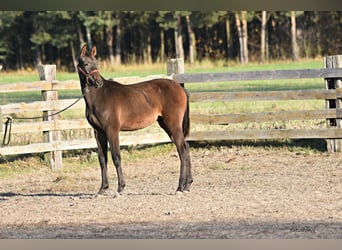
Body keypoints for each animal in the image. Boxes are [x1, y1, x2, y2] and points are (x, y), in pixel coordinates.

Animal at [77, 45, 192, 196]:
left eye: (96, 63)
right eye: (85, 63)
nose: (98, 82)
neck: (100, 96)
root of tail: (180, 88)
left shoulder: (112, 130)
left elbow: (116, 157)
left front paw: (120, 188)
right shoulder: (99, 132)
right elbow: (102, 159)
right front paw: (102, 189)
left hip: (173, 124)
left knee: (182, 149)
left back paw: (180, 187)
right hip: (166, 125)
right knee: (186, 147)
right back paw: (187, 185)